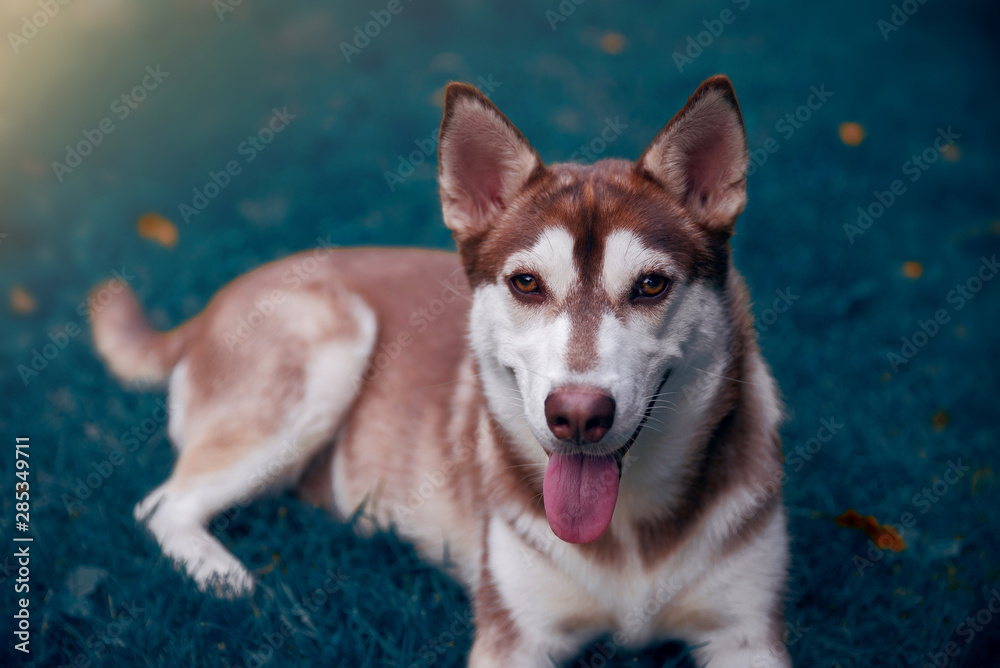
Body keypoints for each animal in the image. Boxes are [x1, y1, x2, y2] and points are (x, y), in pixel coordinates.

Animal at [95, 75, 796, 664]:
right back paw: (223, 576)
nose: (576, 415)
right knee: (159, 505)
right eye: (526, 283)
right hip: (327, 346)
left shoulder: (746, 633)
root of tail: (211, 305)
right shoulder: (515, 636)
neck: (627, 536)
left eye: (651, 285)